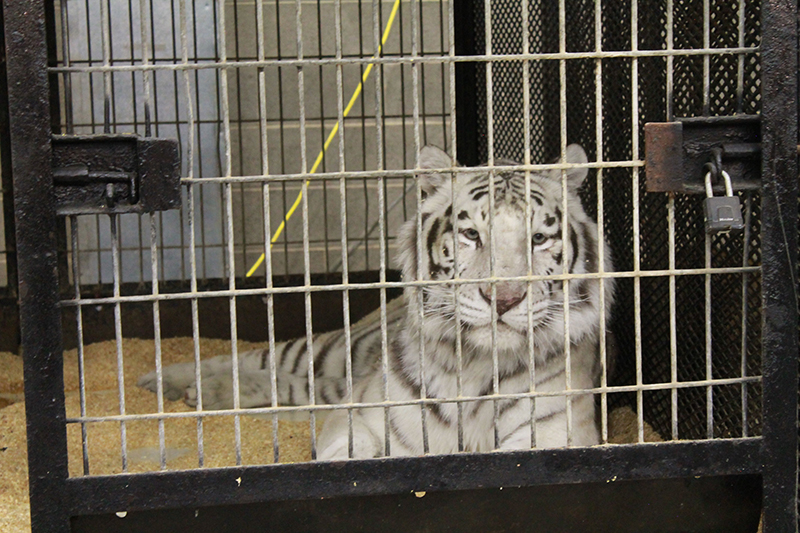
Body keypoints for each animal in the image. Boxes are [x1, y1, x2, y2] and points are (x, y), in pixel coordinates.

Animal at [137, 144, 615, 460]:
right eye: (471, 234)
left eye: (538, 239)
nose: (505, 298)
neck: (478, 366)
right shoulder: (364, 418)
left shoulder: (557, 434)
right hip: (331, 349)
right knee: (255, 359)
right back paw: (163, 382)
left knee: (298, 391)